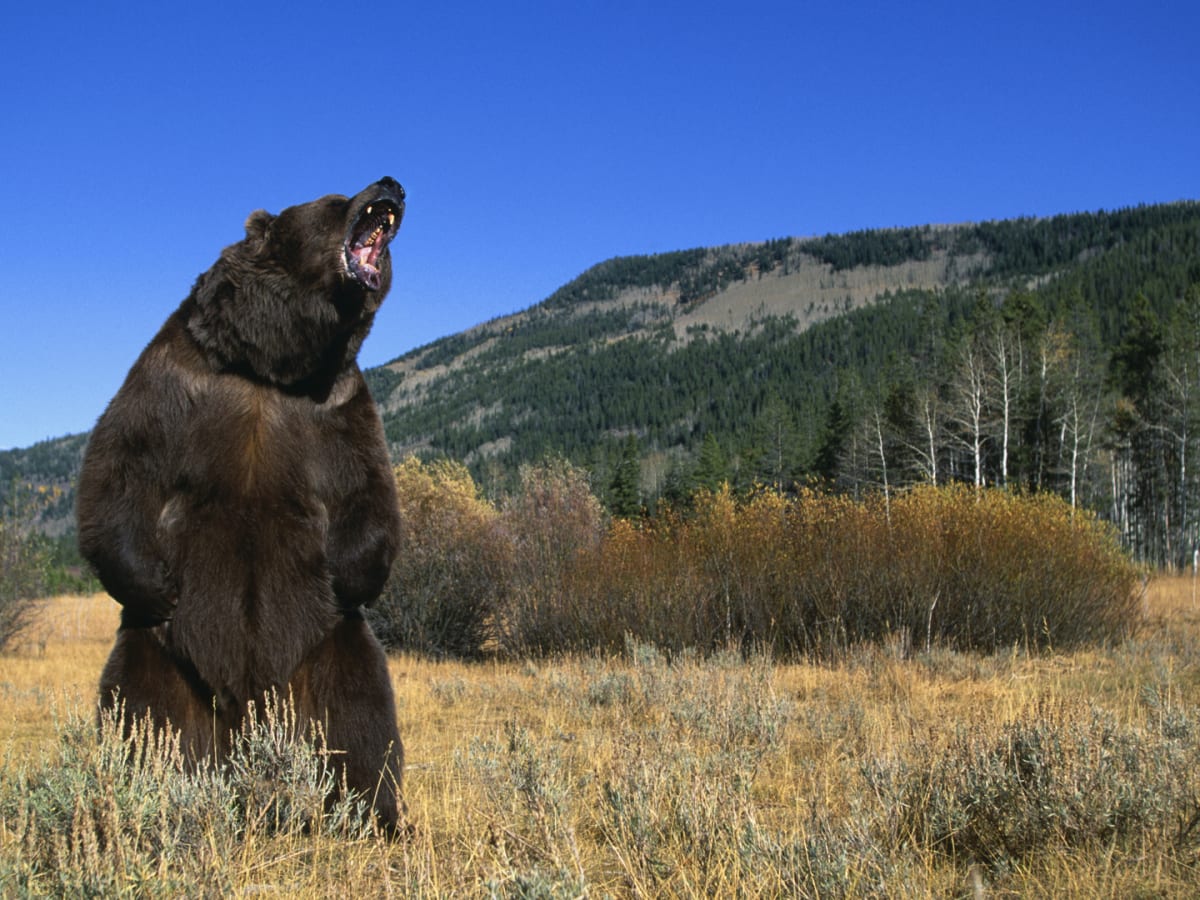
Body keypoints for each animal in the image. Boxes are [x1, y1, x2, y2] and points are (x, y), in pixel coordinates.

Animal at [79, 177, 410, 840]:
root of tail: (244, 725)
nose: (392, 184)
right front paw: (154, 582)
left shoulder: (338, 407)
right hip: (161, 658)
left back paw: (375, 816)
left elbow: (368, 489)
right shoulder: (176, 379)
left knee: (360, 723)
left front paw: (348, 573)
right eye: (334, 200)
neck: (271, 366)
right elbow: (119, 466)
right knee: (139, 719)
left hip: (329, 650)